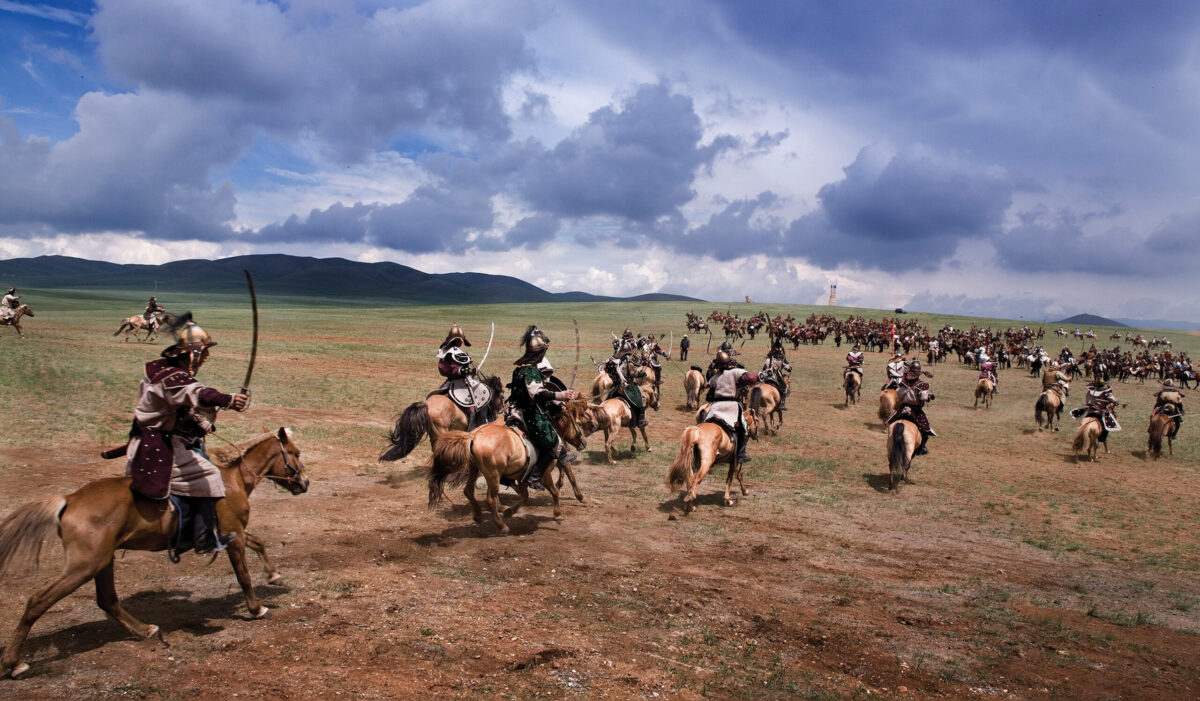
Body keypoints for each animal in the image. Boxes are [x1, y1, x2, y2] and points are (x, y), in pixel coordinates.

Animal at [1, 427, 309, 676]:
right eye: (295, 453)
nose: (305, 483)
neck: (233, 481)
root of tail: (69, 500)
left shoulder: (235, 533)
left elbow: (258, 542)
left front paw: (273, 575)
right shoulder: (233, 535)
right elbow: (243, 575)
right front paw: (257, 608)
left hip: (102, 560)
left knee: (107, 600)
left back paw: (146, 630)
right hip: (84, 565)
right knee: (39, 601)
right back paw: (14, 663)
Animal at [427, 400, 590, 530]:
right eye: (576, 422)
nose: (583, 442)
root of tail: (473, 436)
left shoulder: (521, 476)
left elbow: (525, 496)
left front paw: (510, 511)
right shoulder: (544, 473)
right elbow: (557, 488)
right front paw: (560, 510)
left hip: (477, 470)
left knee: (469, 491)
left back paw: (480, 515)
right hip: (493, 475)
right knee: (490, 499)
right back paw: (501, 525)